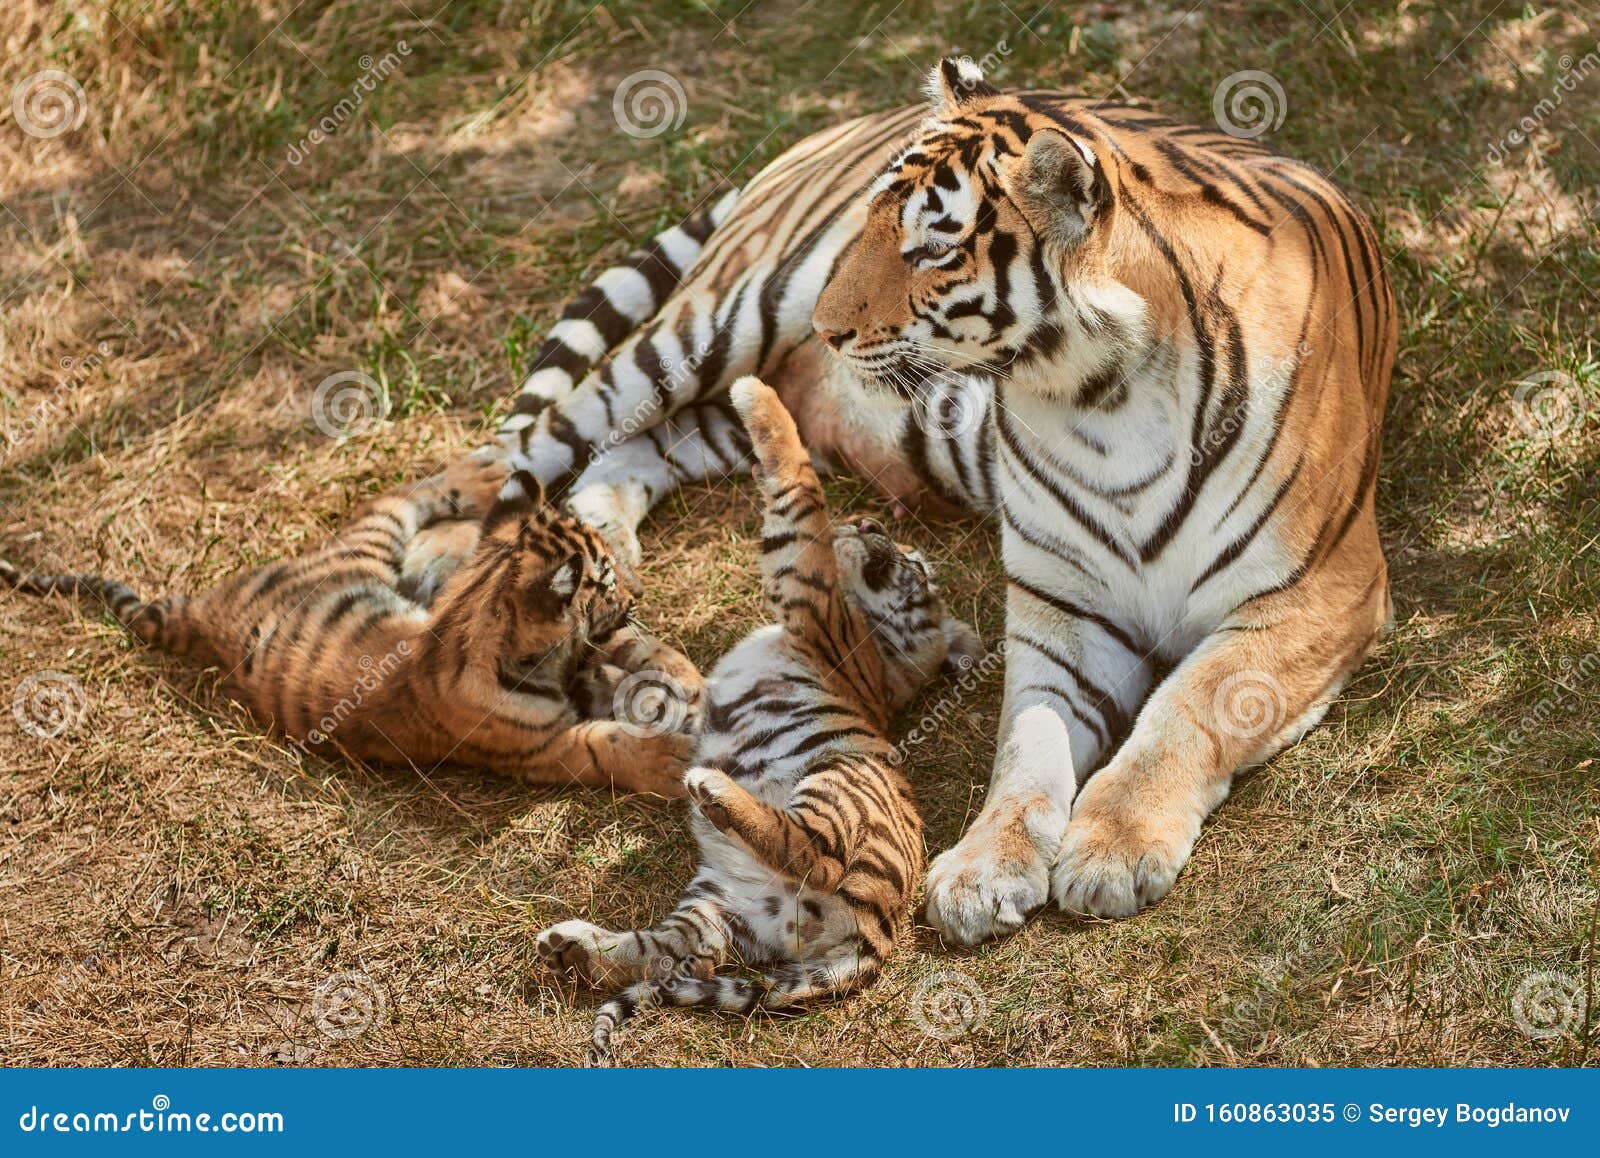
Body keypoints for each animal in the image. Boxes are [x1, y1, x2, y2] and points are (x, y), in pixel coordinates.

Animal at [3, 451, 700, 796]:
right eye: (604, 582)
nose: (640, 590)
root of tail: (202, 613)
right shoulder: (539, 750)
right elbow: (604, 743)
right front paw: (667, 760)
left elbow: (629, 656)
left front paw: (681, 678)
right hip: (367, 541)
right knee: (390, 497)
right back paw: (481, 472)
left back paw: (490, 478)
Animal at [492, 58, 1395, 940]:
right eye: (871, 222)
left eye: (932, 248)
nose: (825, 328)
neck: (1103, 401)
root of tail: (841, 122)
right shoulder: (1062, 609)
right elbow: (1029, 742)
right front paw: (982, 870)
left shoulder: (1321, 593)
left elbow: (1185, 710)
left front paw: (1111, 851)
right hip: (706, 329)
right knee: (537, 438)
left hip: (739, 404)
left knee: (638, 444)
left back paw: (606, 544)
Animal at [537, 375, 979, 1062]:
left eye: (915, 563)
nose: (869, 519)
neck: (874, 648)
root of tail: (880, 935)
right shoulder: (704, 697)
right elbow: (653, 678)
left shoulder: (809, 590)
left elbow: (798, 482)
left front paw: (755, 394)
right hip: (723, 906)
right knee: (676, 955)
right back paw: (577, 949)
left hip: (833, 784)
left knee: (815, 854)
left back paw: (714, 794)